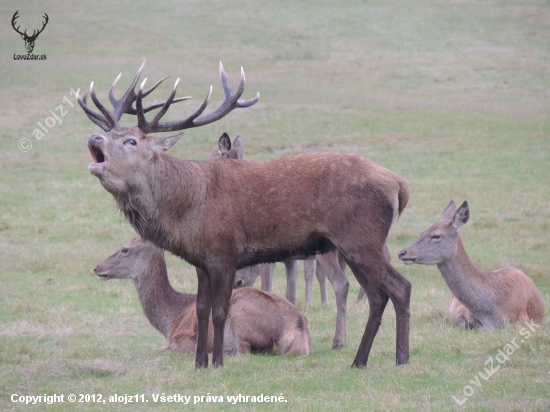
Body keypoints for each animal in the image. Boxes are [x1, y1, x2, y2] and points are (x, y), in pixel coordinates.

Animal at [78, 59, 414, 368]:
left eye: (130, 140)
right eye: (107, 132)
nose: (93, 139)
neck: (187, 207)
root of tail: (399, 184)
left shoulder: (226, 253)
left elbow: (220, 311)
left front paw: (217, 363)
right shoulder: (201, 260)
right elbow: (201, 309)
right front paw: (199, 363)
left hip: (361, 239)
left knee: (400, 286)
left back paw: (401, 358)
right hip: (351, 246)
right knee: (376, 295)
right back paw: (359, 360)